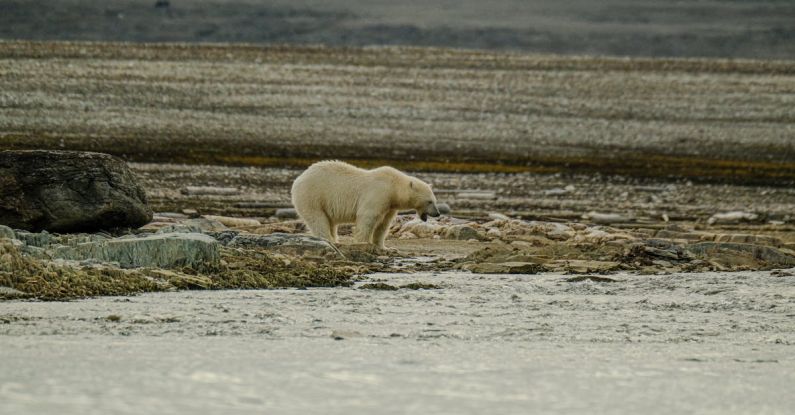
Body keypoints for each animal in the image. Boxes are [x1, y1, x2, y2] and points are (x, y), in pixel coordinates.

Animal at [290, 161, 442, 249]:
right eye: (429, 201)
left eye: (435, 200)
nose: (437, 213)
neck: (393, 186)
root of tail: (299, 178)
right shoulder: (378, 194)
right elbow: (367, 217)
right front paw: (363, 243)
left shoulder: (390, 205)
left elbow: (383, 225)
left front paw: (382, 246)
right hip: (313, 196)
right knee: (318, 219)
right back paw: (329, 240)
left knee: (329, 221)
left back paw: (335, 240)